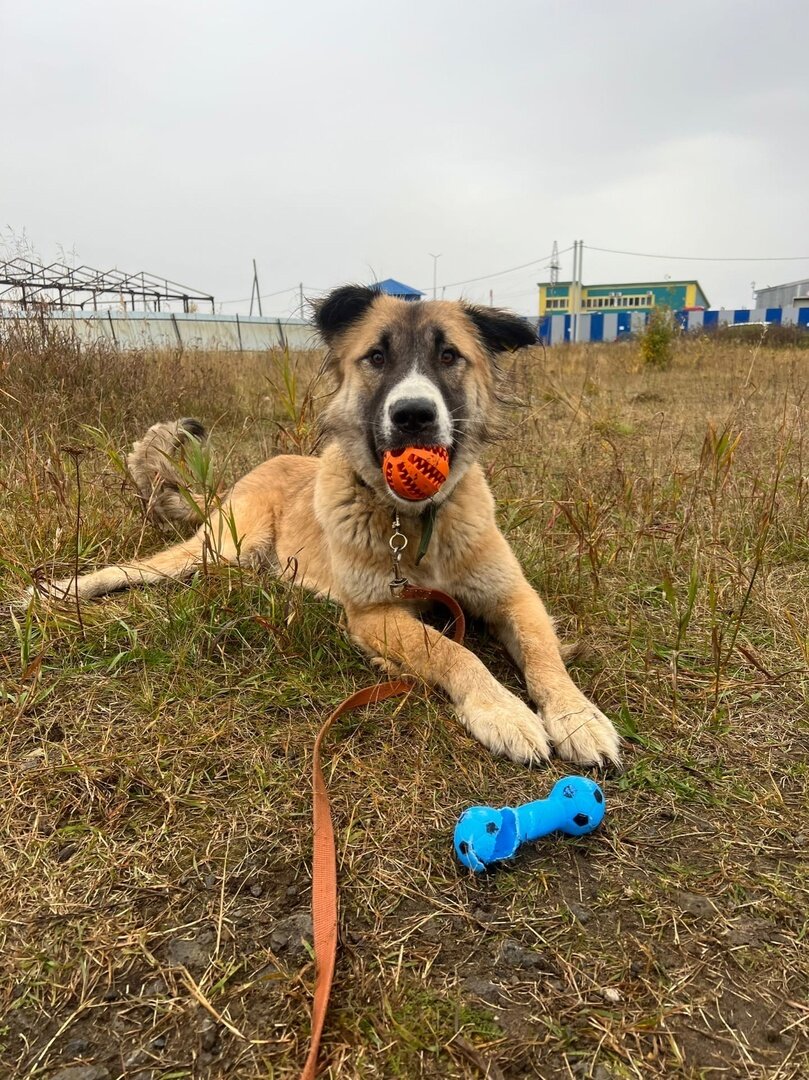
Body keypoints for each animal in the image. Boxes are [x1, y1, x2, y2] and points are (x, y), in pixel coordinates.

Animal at [29, 282, 617, 764]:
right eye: (377, 356)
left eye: (449, 355)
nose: (413, 416)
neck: (418, 525)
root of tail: (246, 476)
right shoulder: (375, 613)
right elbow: (453, 650)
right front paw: (503, 710)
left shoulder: (514, 596)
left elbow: (544, 657)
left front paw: (575, 716)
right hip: (221, 549)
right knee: (137, 569)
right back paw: (62, 590)